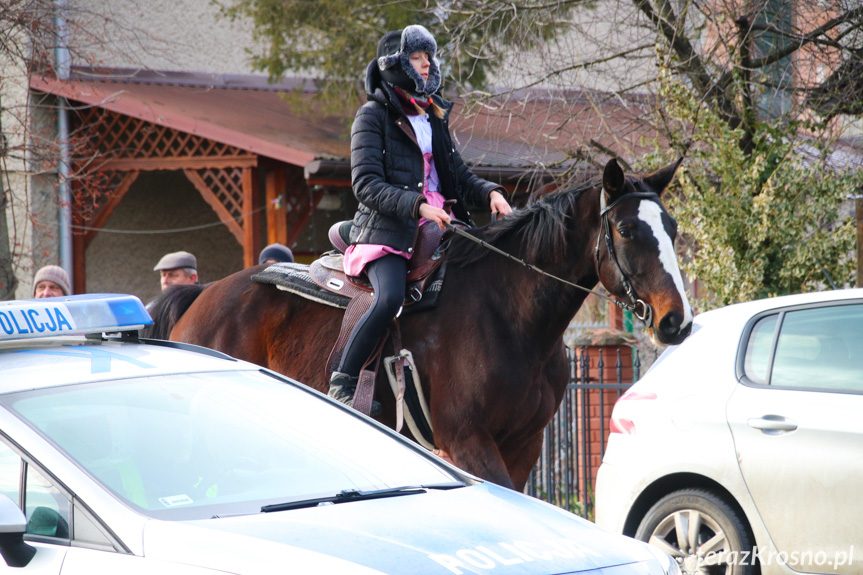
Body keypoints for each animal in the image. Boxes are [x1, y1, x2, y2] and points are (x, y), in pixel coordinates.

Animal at [147, 160, 688, 492]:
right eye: (627, 229)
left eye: (673, 228)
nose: (675, 320)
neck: (510, 316)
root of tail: (202, 295)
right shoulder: (467, 442)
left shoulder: (524, 445)